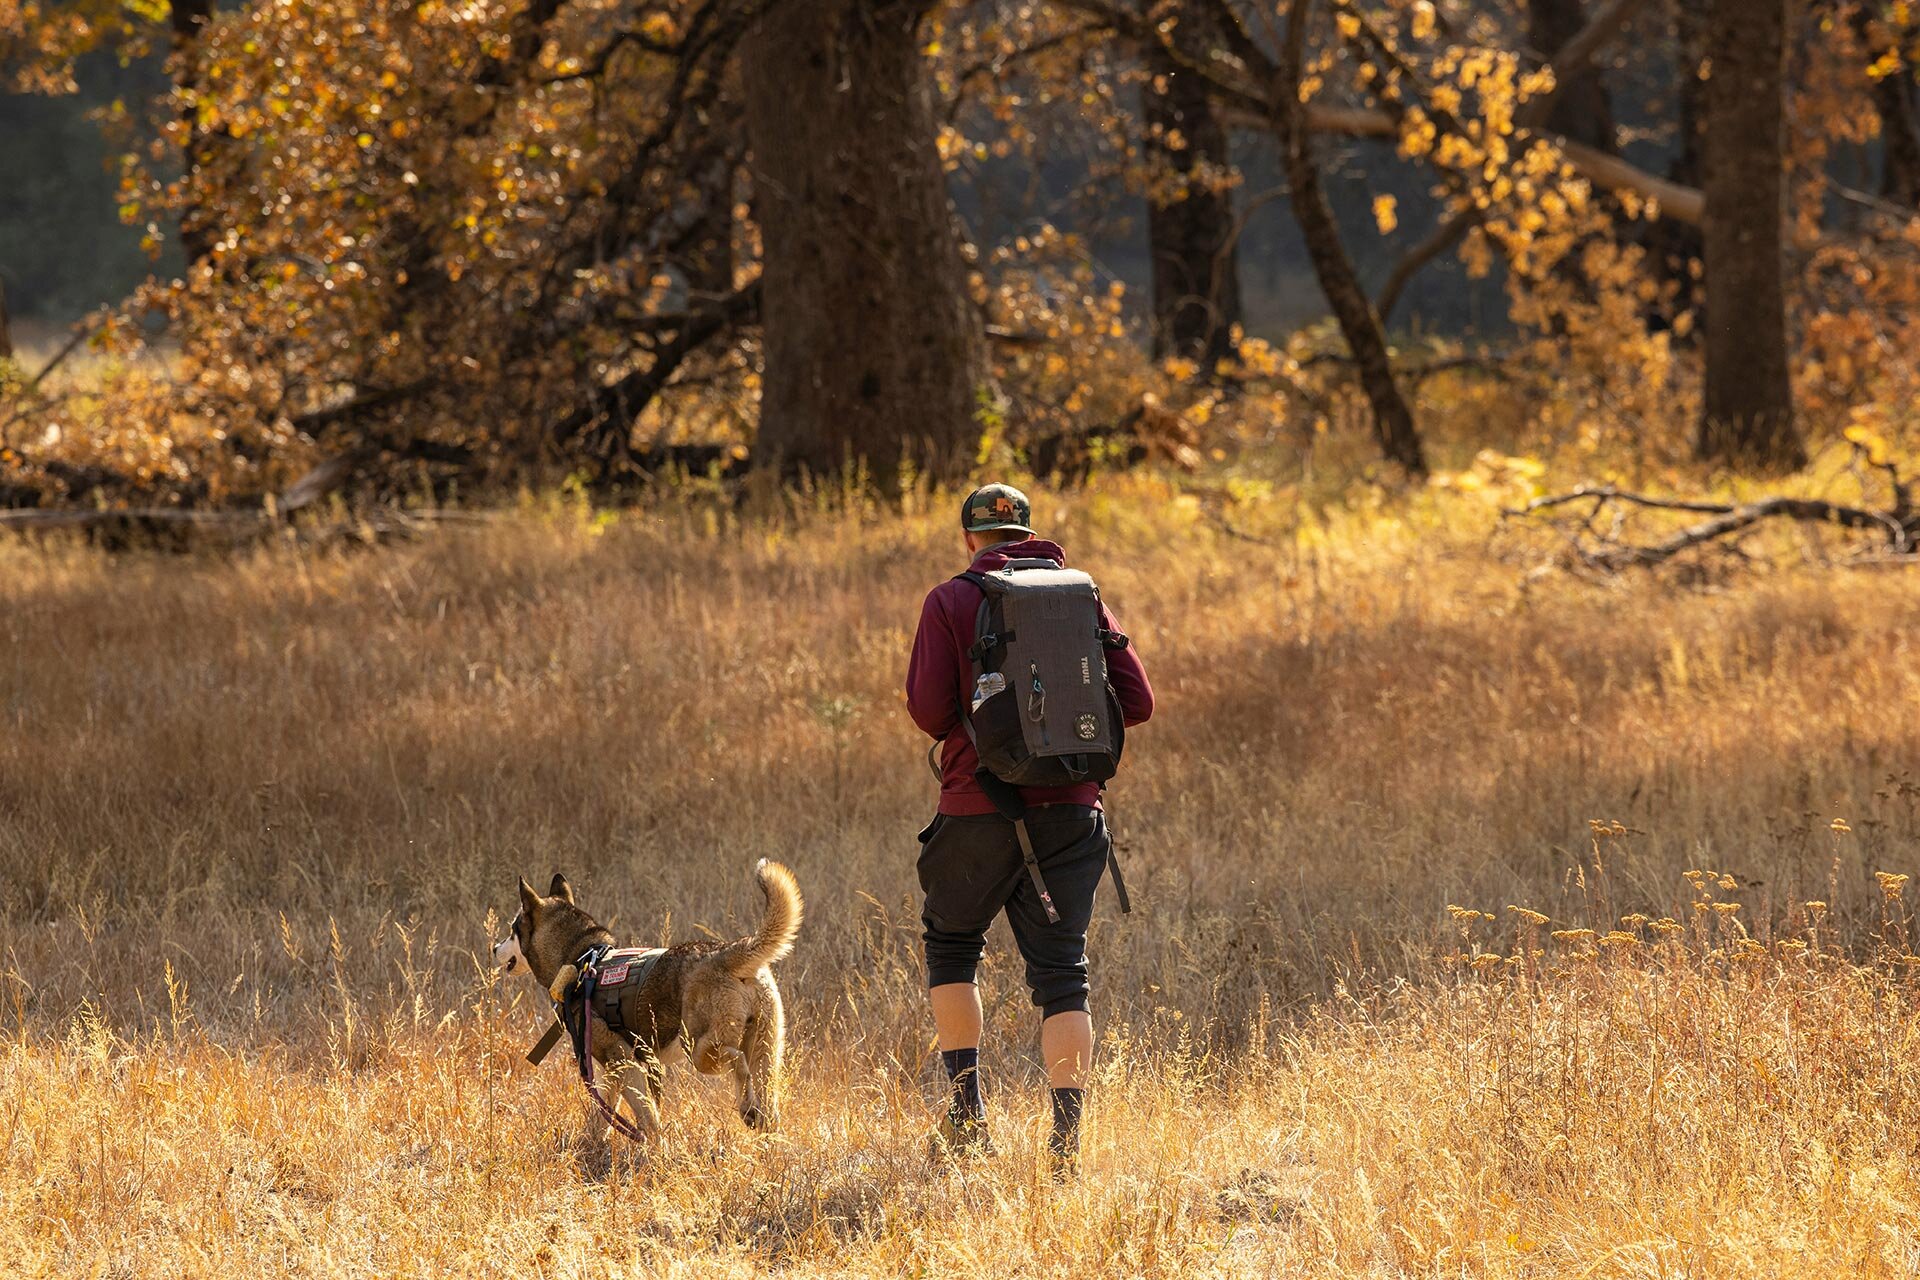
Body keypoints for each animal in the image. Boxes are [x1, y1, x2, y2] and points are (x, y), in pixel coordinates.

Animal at [495, 859, 802, 1143]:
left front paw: (654, 1148)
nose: (495, 947)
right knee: (767, 1102)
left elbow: (646, 1116)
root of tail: (725, 953)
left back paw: (747, 1109)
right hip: (765, 1052)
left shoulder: (622, 1060)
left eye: (512, 930)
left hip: (699, 1051)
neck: (582, 959)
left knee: (737, 1061)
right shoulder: (617, 1070)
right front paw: (591, 1145)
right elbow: (604, 1115)